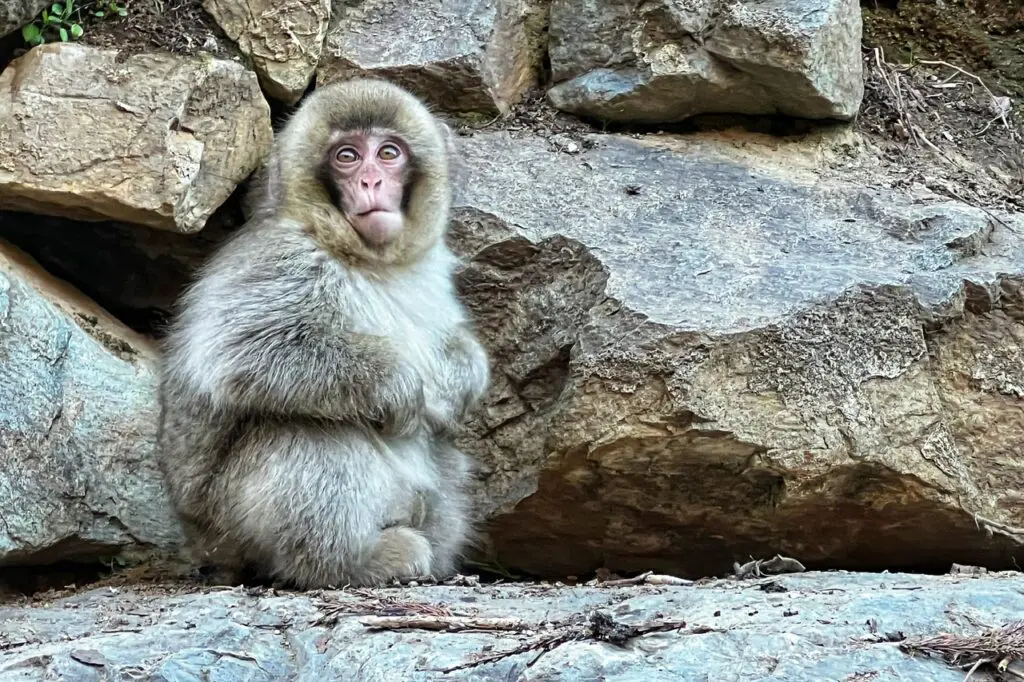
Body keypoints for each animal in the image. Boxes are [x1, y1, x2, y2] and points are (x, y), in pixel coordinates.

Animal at [155, 78, 490, 589]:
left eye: (388, 153)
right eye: (347, 157)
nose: (371, 182)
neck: (363, 257)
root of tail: (203, 545)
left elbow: (452, 342)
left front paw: (462, 378)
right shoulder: (287, 260)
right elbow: (242, 350)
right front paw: (400, 387)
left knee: (443, 456)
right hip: (229, 525)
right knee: (311, 428)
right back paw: (351, 562)